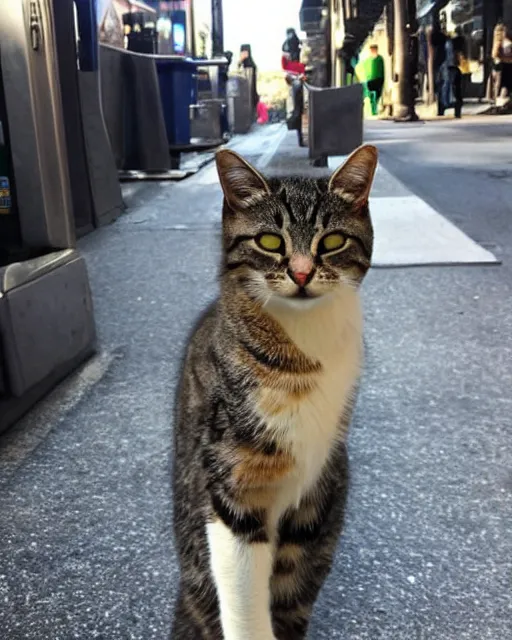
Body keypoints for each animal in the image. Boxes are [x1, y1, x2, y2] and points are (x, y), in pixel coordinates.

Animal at [174, 146, 378, 640]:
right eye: (269, 242)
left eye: (332, 241)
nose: (302, 273)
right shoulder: (233, 484)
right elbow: (246, 603)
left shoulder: (316, 489)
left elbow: (290, 582)